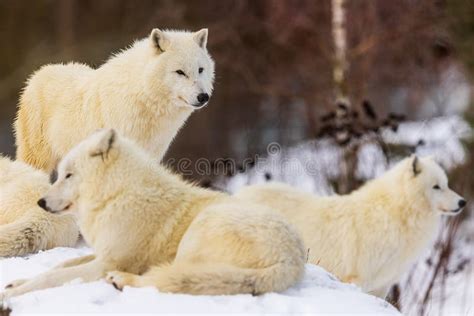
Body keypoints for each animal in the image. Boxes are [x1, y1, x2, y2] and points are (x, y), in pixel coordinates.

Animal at [235, 157, 464, 298]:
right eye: (436, 187)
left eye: (446, 184)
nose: (462, 202)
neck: (394, 214)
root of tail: (237, 194)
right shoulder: (357, 279)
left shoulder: (382, 285)